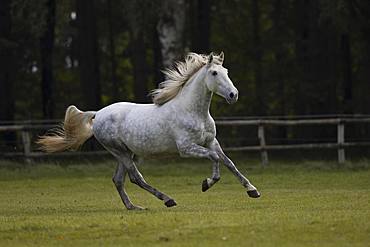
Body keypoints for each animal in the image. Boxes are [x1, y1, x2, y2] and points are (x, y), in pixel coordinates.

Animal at [37, 52, 260, 210]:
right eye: (214, 73)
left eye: (227, 72)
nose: (233, 95)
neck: (192, 110)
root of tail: (97, 114)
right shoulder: (186, 148)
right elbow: (214, 158)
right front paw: (207, 183)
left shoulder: (211, 142)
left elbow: (229, 162)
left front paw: (253, 190)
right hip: (120, 151)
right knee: (136, 178)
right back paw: (168, 200)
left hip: (125, 152)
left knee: (118, 179)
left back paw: (133, 207)